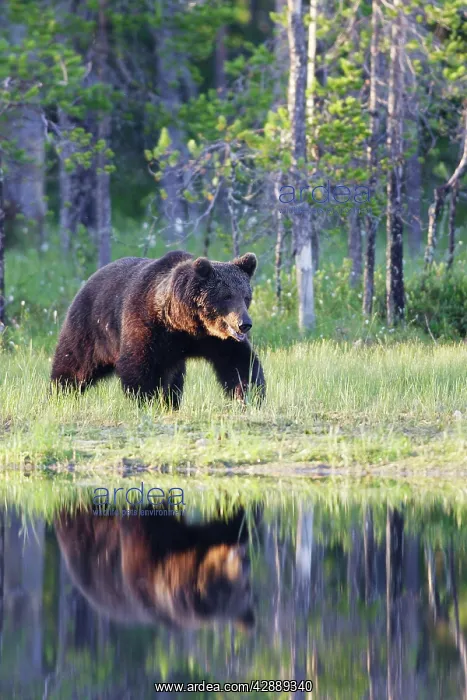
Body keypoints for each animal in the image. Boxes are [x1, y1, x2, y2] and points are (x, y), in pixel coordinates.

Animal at [51, 251, 265, 407]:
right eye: (227, 296)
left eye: (246, 296)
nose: (244, 323)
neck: (184, 324)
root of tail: (89, 279)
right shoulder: (147, 326)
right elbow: (139, 366)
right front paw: (146, 401)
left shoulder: (216, 340)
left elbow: (239, 363)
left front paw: (249, 396)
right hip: (90, 328)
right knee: (74, 363)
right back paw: (60, 393)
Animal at [54, 504, 256, 630]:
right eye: (226, 589)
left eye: (246, 588)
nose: (242, 556)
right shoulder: (139, 554)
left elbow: (229, 524)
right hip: (84, 534)